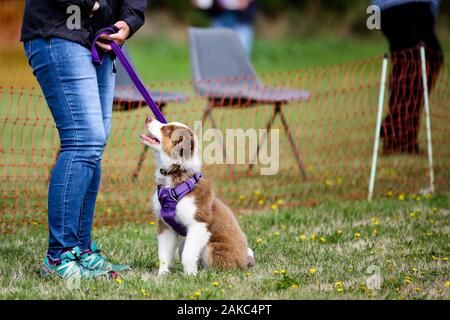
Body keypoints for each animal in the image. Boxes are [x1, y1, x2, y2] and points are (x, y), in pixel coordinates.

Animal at [141, 117, 253, 276]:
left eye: (167, 130)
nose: (148, 118)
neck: (175, 175)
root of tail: (246, 261)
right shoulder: (165, 225)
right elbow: (164, 254)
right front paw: (162, 276)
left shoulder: (198, 224)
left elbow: (188, 255)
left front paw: (191, 277)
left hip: (213, 248)